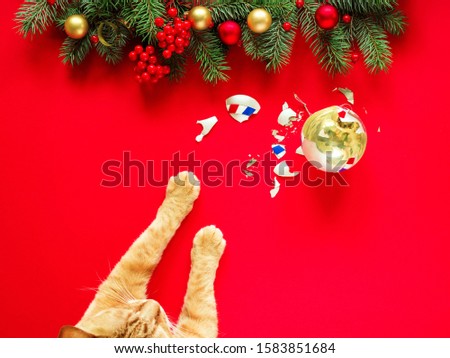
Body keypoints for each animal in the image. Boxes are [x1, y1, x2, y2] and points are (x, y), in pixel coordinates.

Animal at [59, 172, 225, 338]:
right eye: (155, 325)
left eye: (129, 313)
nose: (154, 303)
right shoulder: (197, 331)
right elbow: (198, 291)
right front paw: (208, 242)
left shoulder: (117, 286)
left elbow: (152, 241)